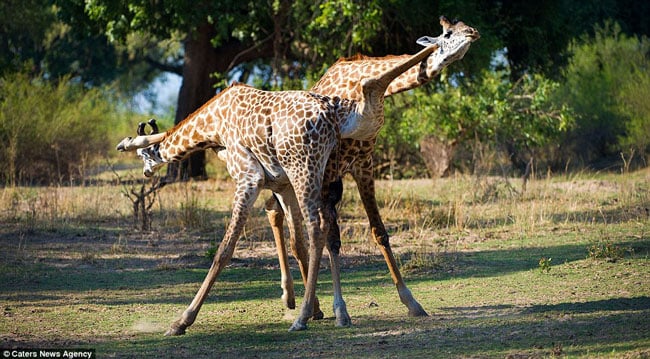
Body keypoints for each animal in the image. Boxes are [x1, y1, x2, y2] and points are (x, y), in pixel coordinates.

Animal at [116, 42, 440, 334]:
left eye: (142, 156)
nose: (145, 171)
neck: (213, 122)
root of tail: (331, 118)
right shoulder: (281, 184)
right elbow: (295, 240)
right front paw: (317, 307)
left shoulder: (248, 178)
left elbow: (224, 249)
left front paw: (182, 320)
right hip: (309, 176)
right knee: (317, 229)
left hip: (306, 170)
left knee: (318, 227)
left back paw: (304, 316)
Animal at [264, 16, 480, 320]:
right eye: (448, 33)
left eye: (464, 26)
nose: (473, 32)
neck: (355, 87)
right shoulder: (329, 171)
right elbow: (331, 237)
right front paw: (340, 310)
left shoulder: (364, 164)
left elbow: (379, 231)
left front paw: (412, 302)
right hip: (295, 176)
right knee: (290, 228)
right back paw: (302, 302)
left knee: (278, 215)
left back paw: (303, 301)